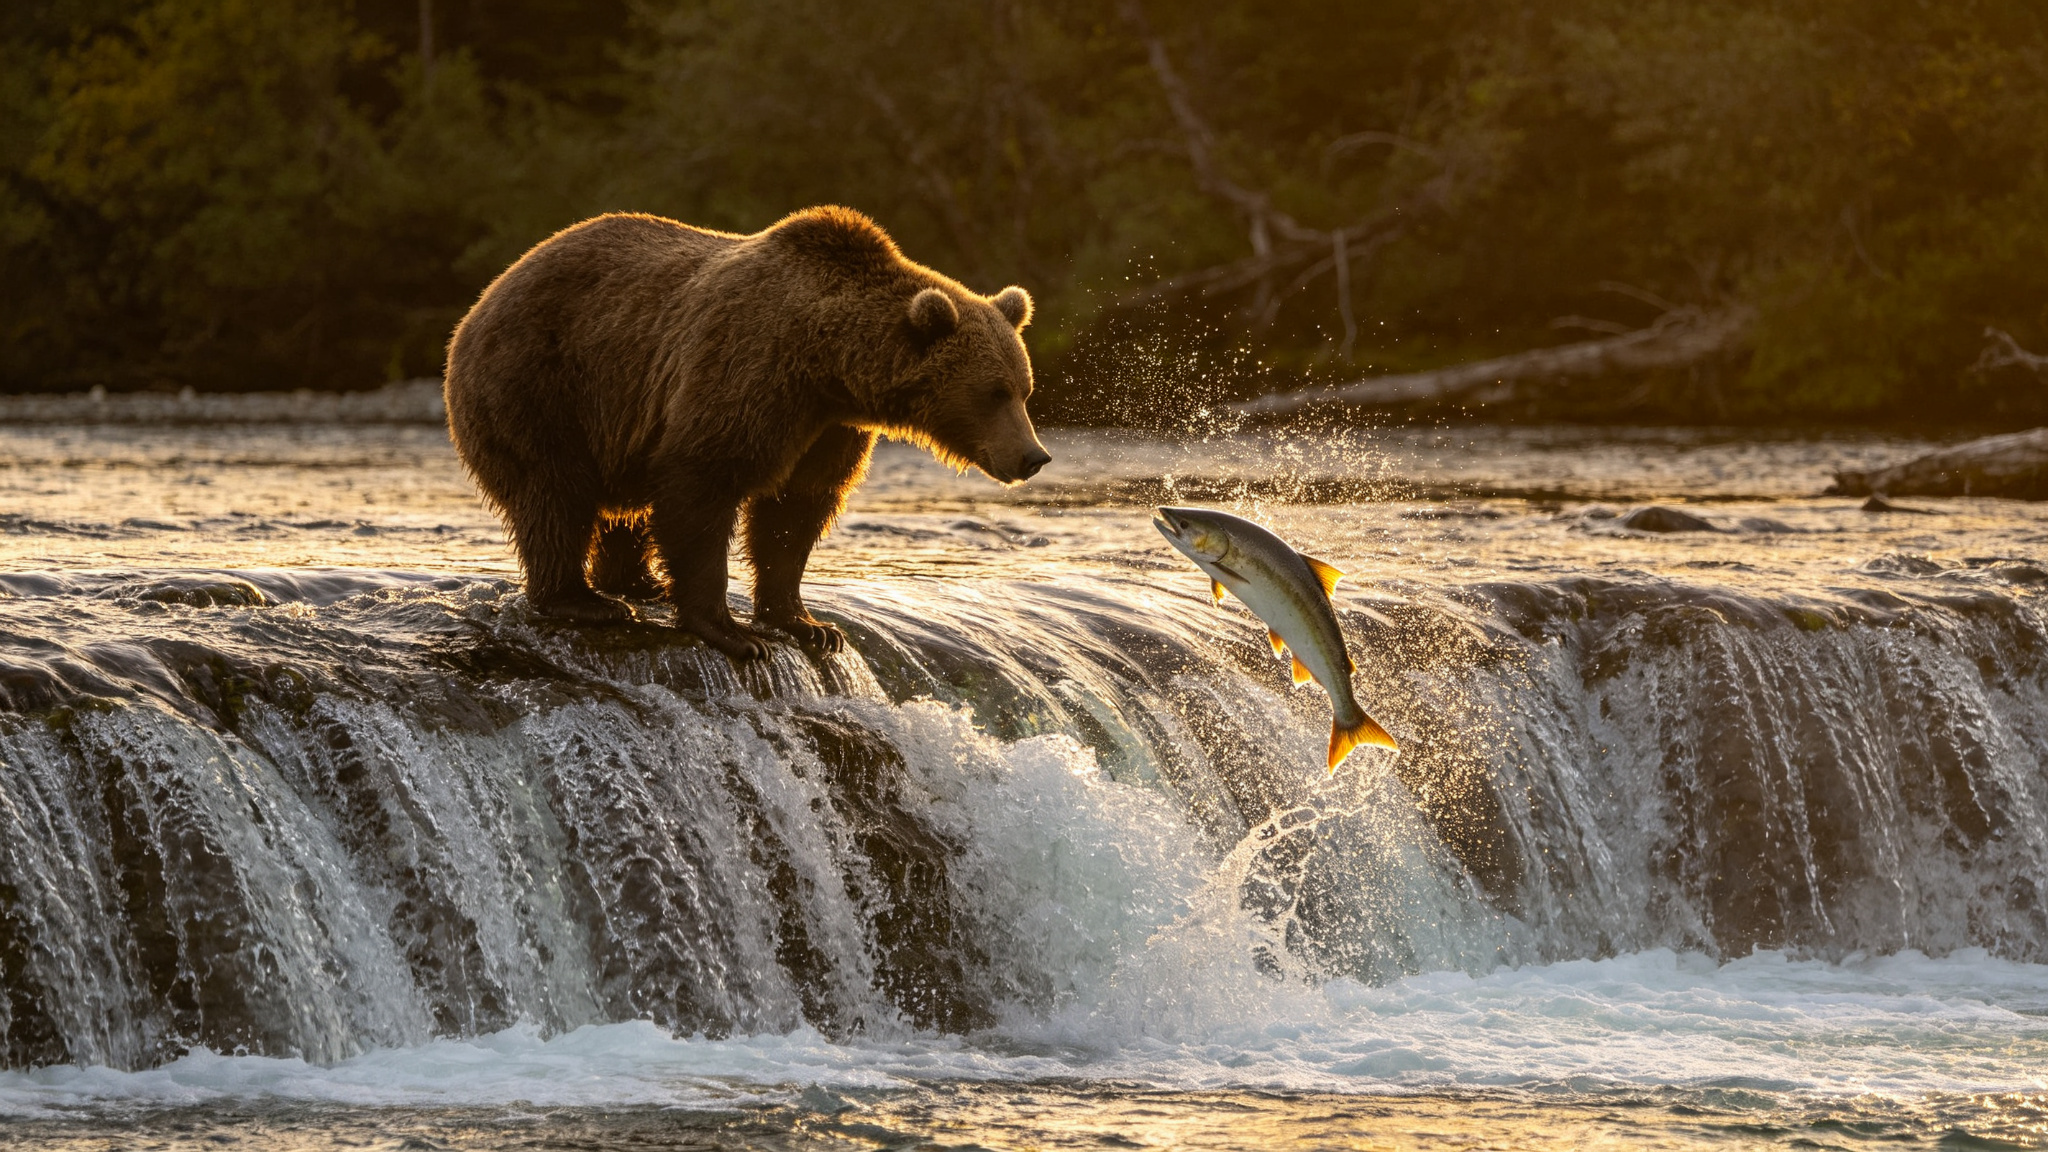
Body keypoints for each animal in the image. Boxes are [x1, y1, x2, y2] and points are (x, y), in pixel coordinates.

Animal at [442, 206, 1051, 660]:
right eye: (994, 392)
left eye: (1025, 389)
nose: (1033, 456)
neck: (828, 366)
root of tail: (484, 298)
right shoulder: (750, 372)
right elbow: (702, 484)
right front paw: (733, 632)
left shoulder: (828, 429)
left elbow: (795, 512)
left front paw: (810, 625)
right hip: (542, 386)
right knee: (554, 492)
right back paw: (584, 600)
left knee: (621, 513)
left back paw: (638, 583)